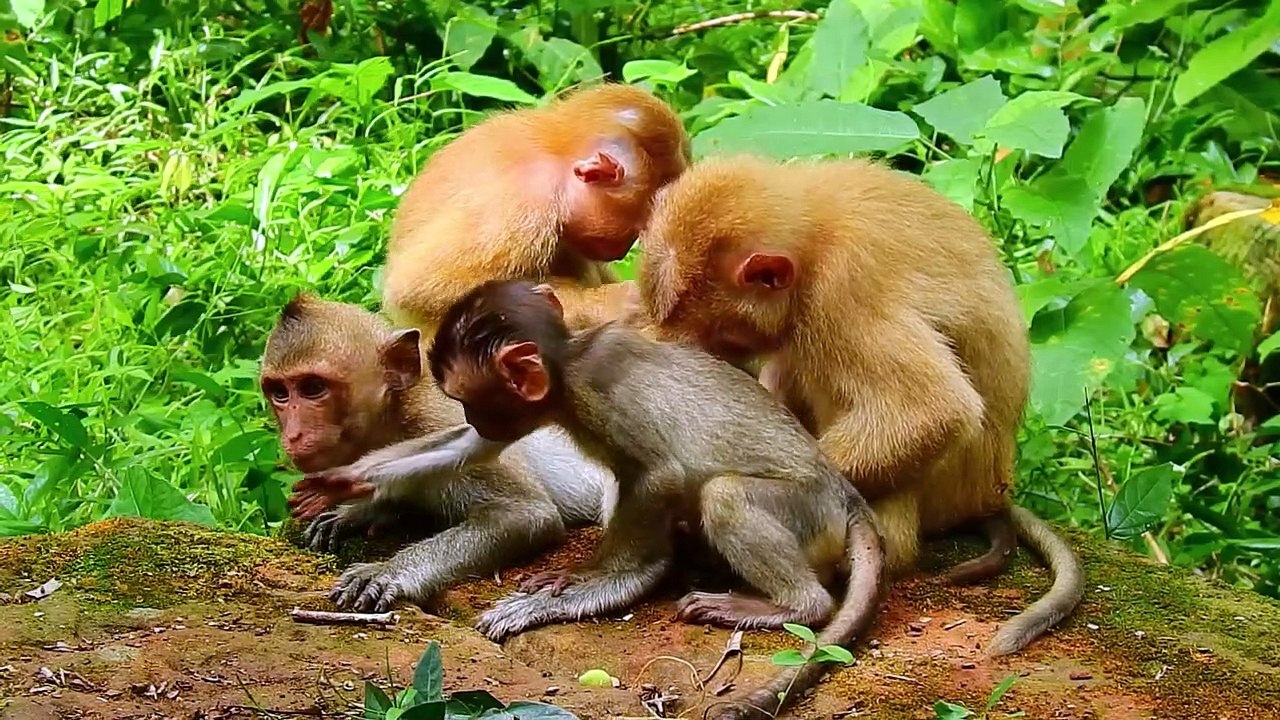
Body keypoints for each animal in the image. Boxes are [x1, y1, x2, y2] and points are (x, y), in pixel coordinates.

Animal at [259, 294, 613, 612]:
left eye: (313, 388)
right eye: (279, 393)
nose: (293, 435)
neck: (400, 411)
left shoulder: (442, 426)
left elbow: (527, 514)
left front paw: (388, 570)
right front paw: (359, 512)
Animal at [300, 279, 887, 720]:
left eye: (468, 398)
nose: (471, 414)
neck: (569, 364)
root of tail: (845, 495)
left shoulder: (596, 397)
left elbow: (659, 476)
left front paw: (587, 583)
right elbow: (470, 448)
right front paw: (347, 485)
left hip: (806, 510)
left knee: (723, 496)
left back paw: (785, 604)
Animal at [381, 82, 691, 334]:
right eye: (647, 210)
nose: (638, 240)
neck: (554, 160)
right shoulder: (520, 206)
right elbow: (415, 289)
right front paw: (605, 304)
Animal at [635, 155, 1084, 657]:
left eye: (725, 337)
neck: (815, 236)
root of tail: (992, 488)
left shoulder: (843, 290)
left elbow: (933, 408)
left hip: (945, 490)